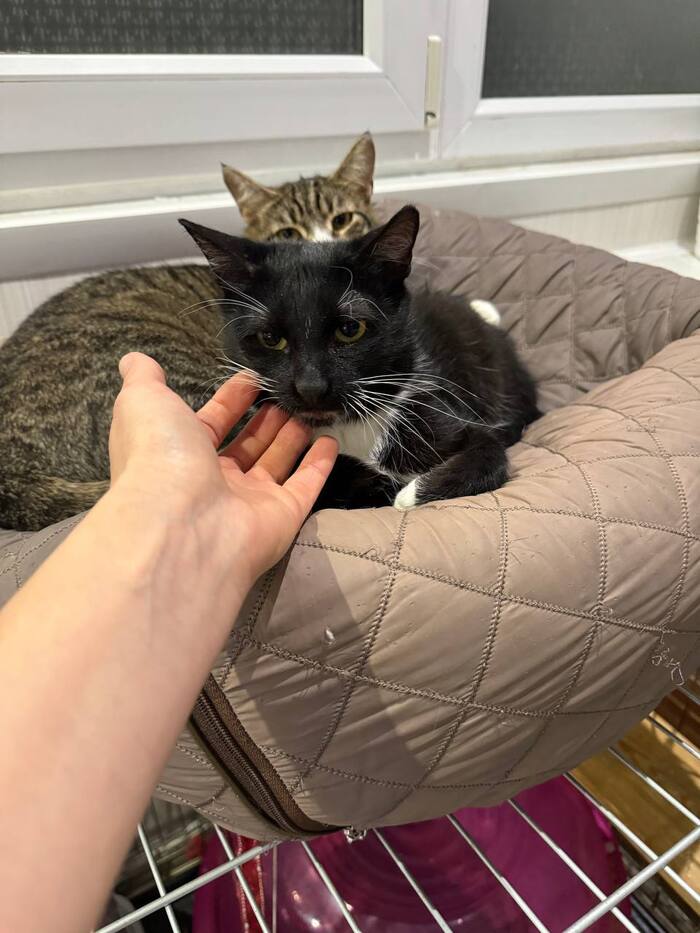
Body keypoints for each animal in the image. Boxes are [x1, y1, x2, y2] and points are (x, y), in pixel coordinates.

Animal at [179, 205, 540, 511]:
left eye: (350, 329)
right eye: (270, 338)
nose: (310, 387)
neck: (347, 427)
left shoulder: (437, 409)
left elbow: (489, 451)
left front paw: (410, 494)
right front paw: (387, 485)